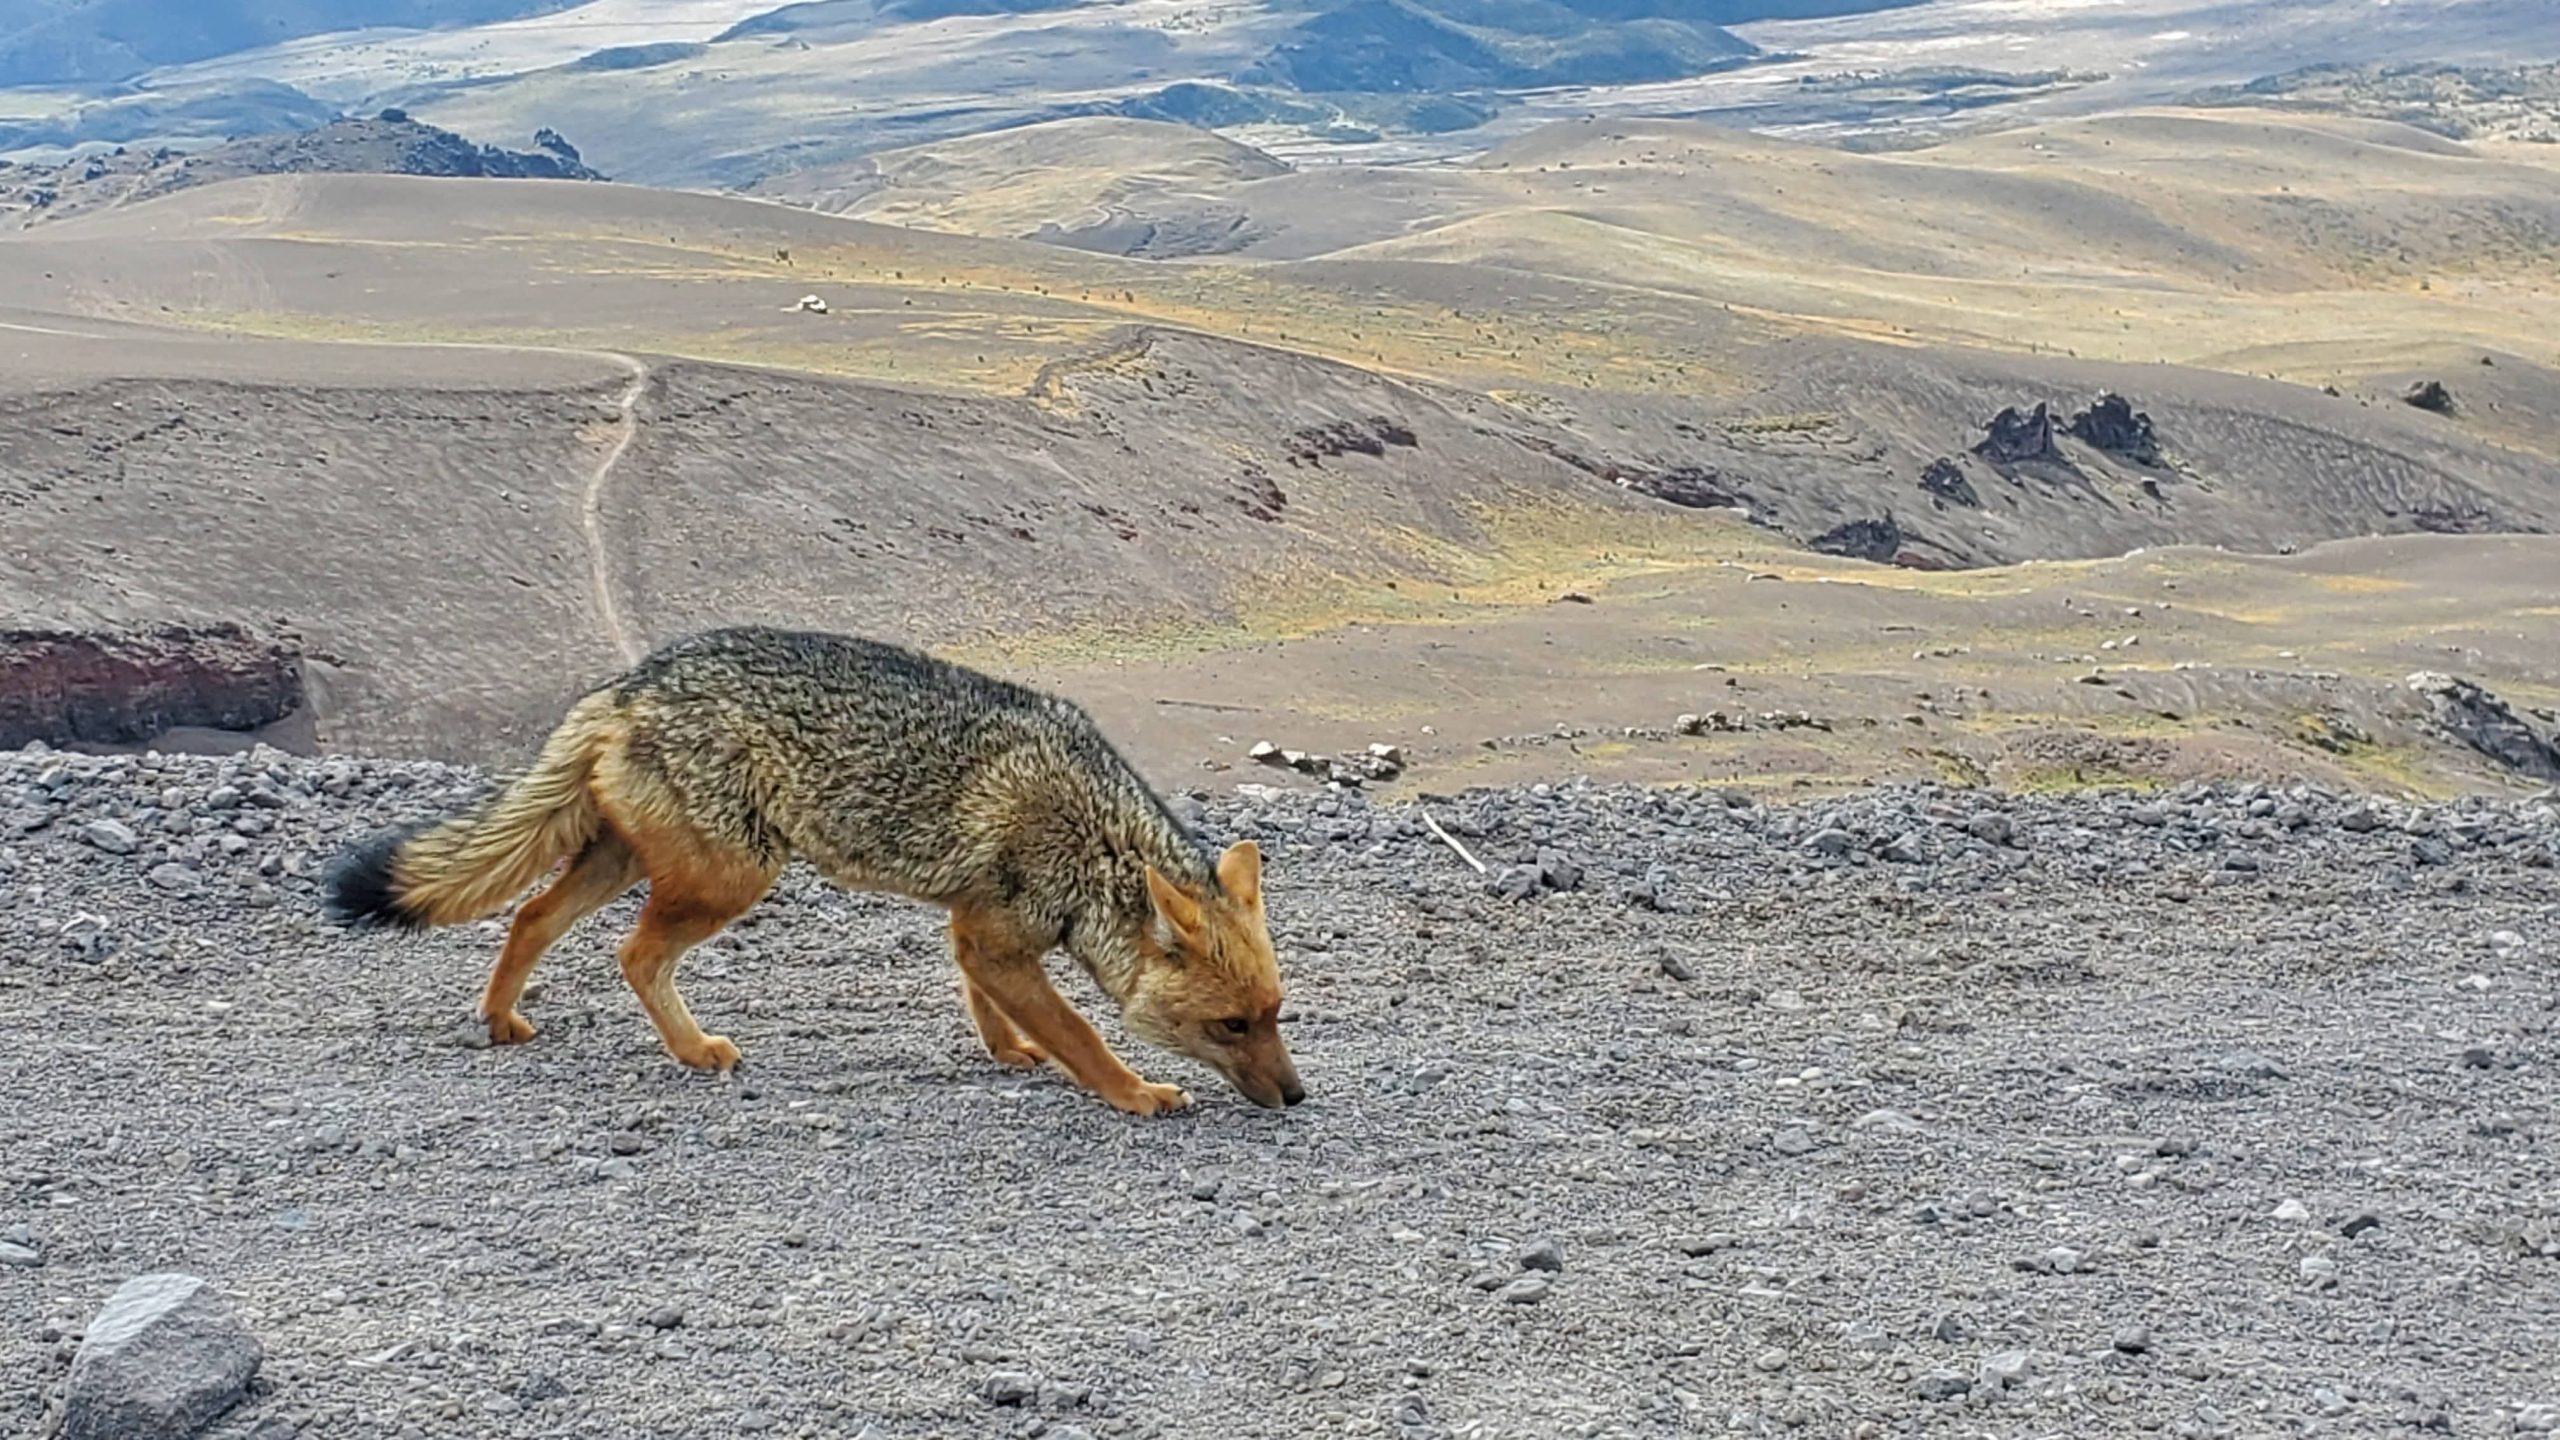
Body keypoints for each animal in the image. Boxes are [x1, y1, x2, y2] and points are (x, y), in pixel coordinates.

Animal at [322, 625, 1310, 1112]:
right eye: (1230, 1027)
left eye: (1276, 1016)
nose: (1297, 1097)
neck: (1095, 838)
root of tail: (630, 682)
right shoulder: (998, 934)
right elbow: (1082, 1033)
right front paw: (1135, 1093)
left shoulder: (974, 928)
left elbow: (995, 1005)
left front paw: (1008, 1051)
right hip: (731, 876)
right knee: (633, 956)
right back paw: (694, 1052)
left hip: (626, 861)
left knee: (529, 916)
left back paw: (500, 1021)